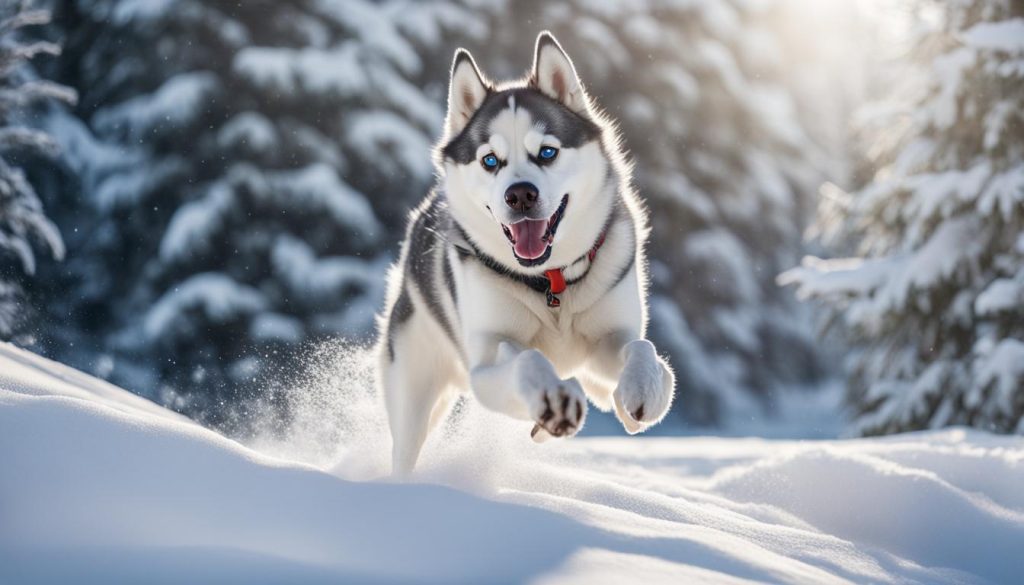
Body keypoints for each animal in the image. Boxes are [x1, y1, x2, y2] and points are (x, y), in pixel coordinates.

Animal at [380, 29, 675, 473]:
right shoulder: (486, 362)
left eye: (548, 152)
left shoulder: (604, 348)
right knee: (405, 448)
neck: (551, 281)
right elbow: (526, 360)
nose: (520, 194)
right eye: (490, 160)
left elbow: (642, 348)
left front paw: (644, 388)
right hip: (413, 389)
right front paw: (552, 398)